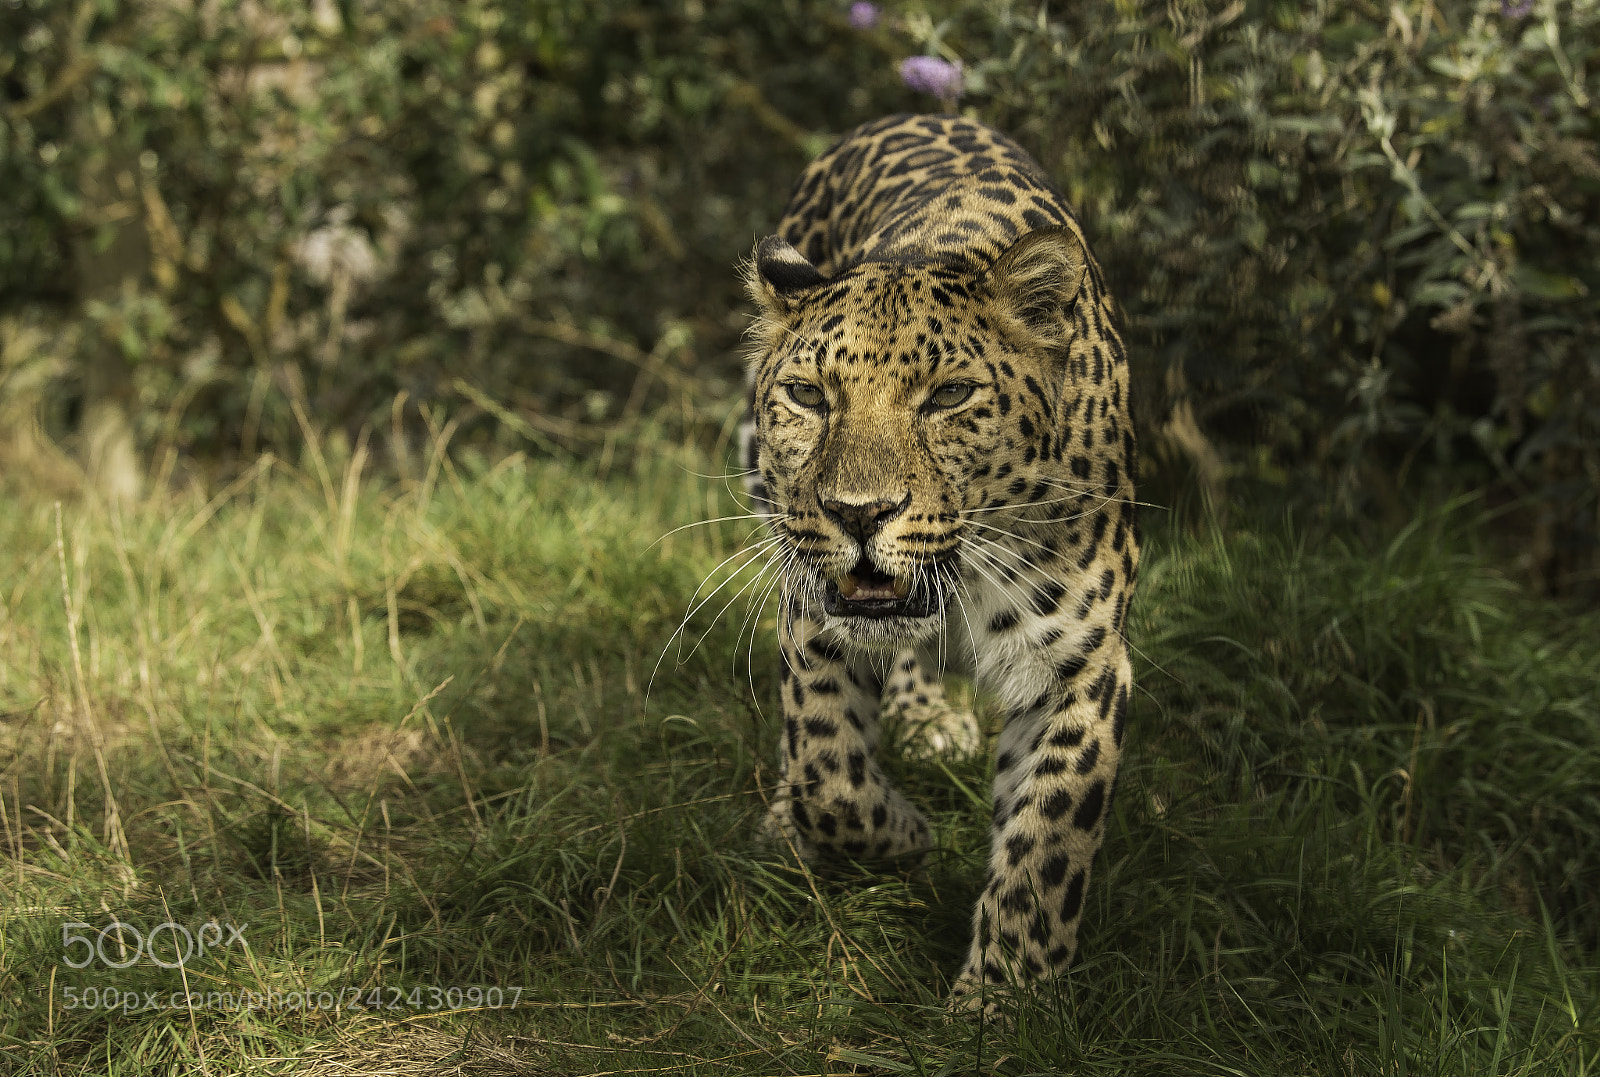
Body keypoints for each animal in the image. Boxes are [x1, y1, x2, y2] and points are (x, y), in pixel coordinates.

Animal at [737, 113, 1139, 1004]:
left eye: (949, 396)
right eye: (808, 396)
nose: (858, 512)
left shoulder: (1083, 661)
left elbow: (1048, 837)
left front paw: (1004, 997)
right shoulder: (811, 608)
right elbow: (826, 767)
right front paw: (905, 834)